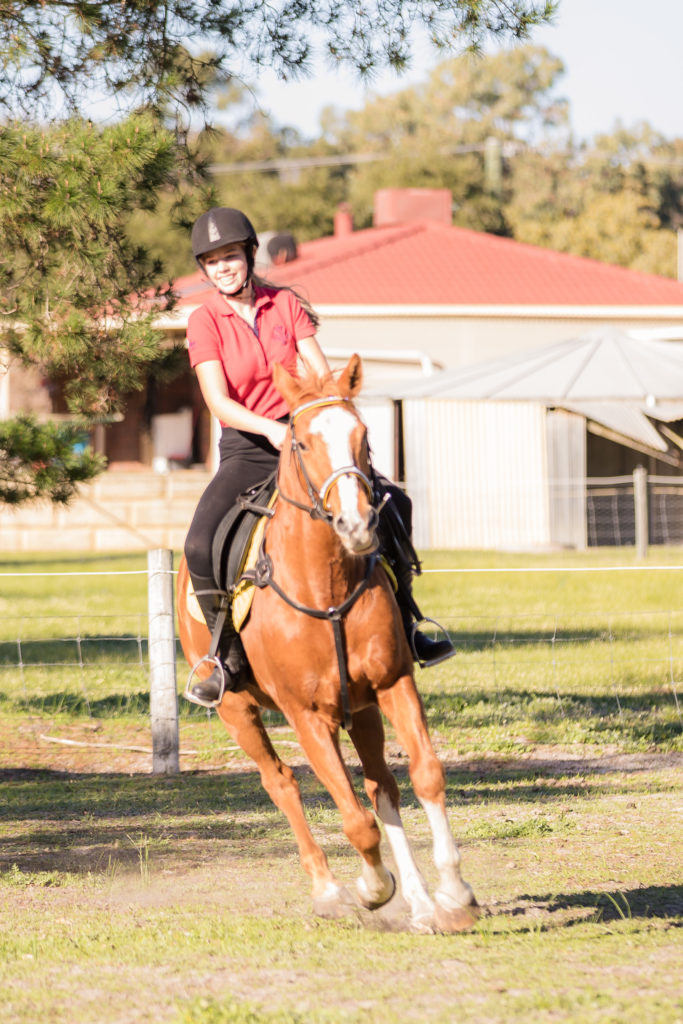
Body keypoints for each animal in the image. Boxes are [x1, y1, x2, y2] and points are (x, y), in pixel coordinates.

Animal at [176, 356, 479, 933]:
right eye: (301, 442)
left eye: (364, 436)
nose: (357, 524)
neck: (327, 585)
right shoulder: (306, 717)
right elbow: (356, 823)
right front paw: (370, 890)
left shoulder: (393, 684)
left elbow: (425, 777)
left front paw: (453, 894)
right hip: (236, 710)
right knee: (282, 784)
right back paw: (330, 889)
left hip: (361, 709)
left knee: (381, 787)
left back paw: (419, 900)